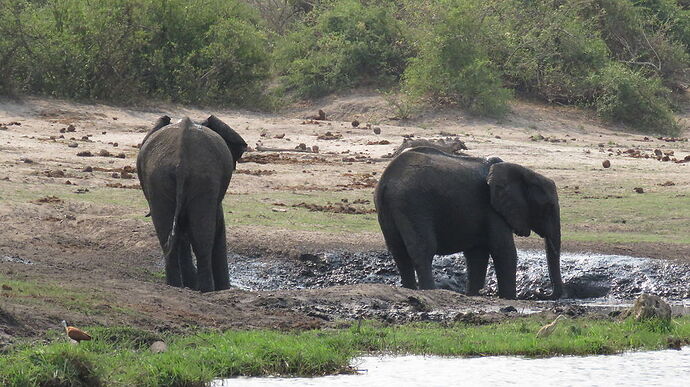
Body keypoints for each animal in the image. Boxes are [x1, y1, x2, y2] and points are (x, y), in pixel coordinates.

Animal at [136, 114, 246, 292]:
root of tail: (180, 163)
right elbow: (217, 226)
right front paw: (223, 288)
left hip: (159, 178)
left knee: (166, 233)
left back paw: (176, 285)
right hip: (203, 178)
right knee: (202, 238)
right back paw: (206, 289)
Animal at [374, 146, 560, 300]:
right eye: (548, 207)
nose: (542, 294)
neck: (521, 171)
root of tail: (386, 181)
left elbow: (477, 255)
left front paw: (473, 295)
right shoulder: (493, 210)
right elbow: (504, 251)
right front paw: (509, 298)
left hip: (387, 207)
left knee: (398, 251)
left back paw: (410, 290)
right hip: (414, 205)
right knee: (423, 249)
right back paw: (431, 290)